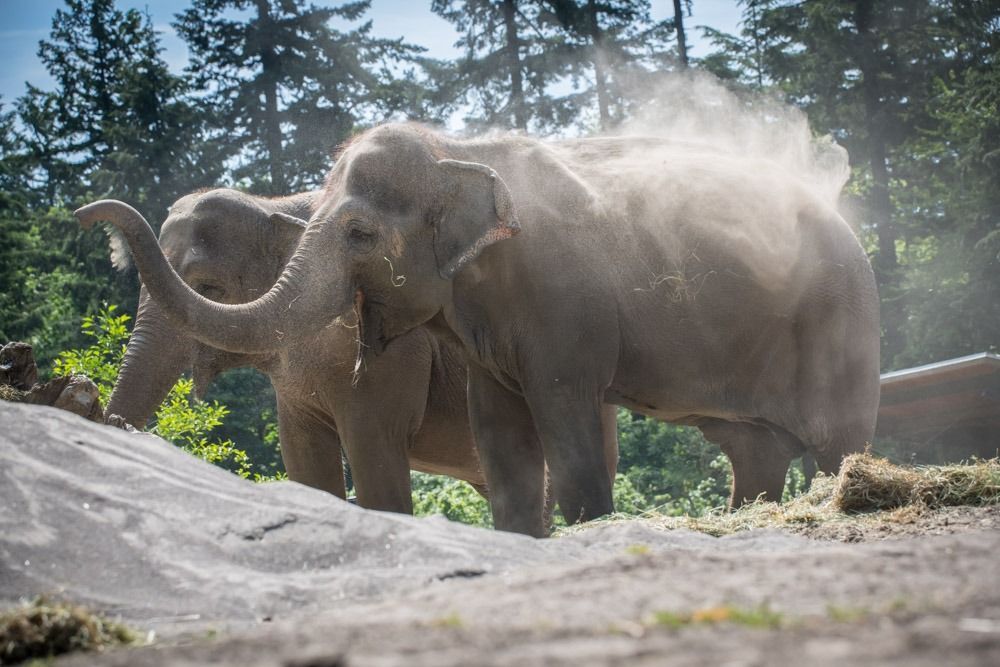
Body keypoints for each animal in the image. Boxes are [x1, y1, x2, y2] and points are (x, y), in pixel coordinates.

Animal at [76, 124, 876, 536]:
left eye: (361, 233)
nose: (86, 211)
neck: (454, 150)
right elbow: (494, 439)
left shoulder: (558, 312)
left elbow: (549, 425)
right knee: (754, 451)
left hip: (839, 324)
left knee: (835, 441)